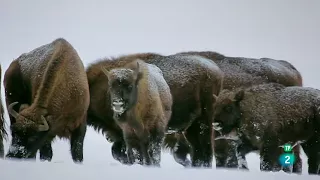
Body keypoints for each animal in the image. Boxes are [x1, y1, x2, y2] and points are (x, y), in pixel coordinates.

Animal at [86, 52, 224, 167]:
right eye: (110, 87)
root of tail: (215, 69)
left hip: (204, 122)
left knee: (205, 149)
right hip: (192, 127)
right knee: (197, 149)